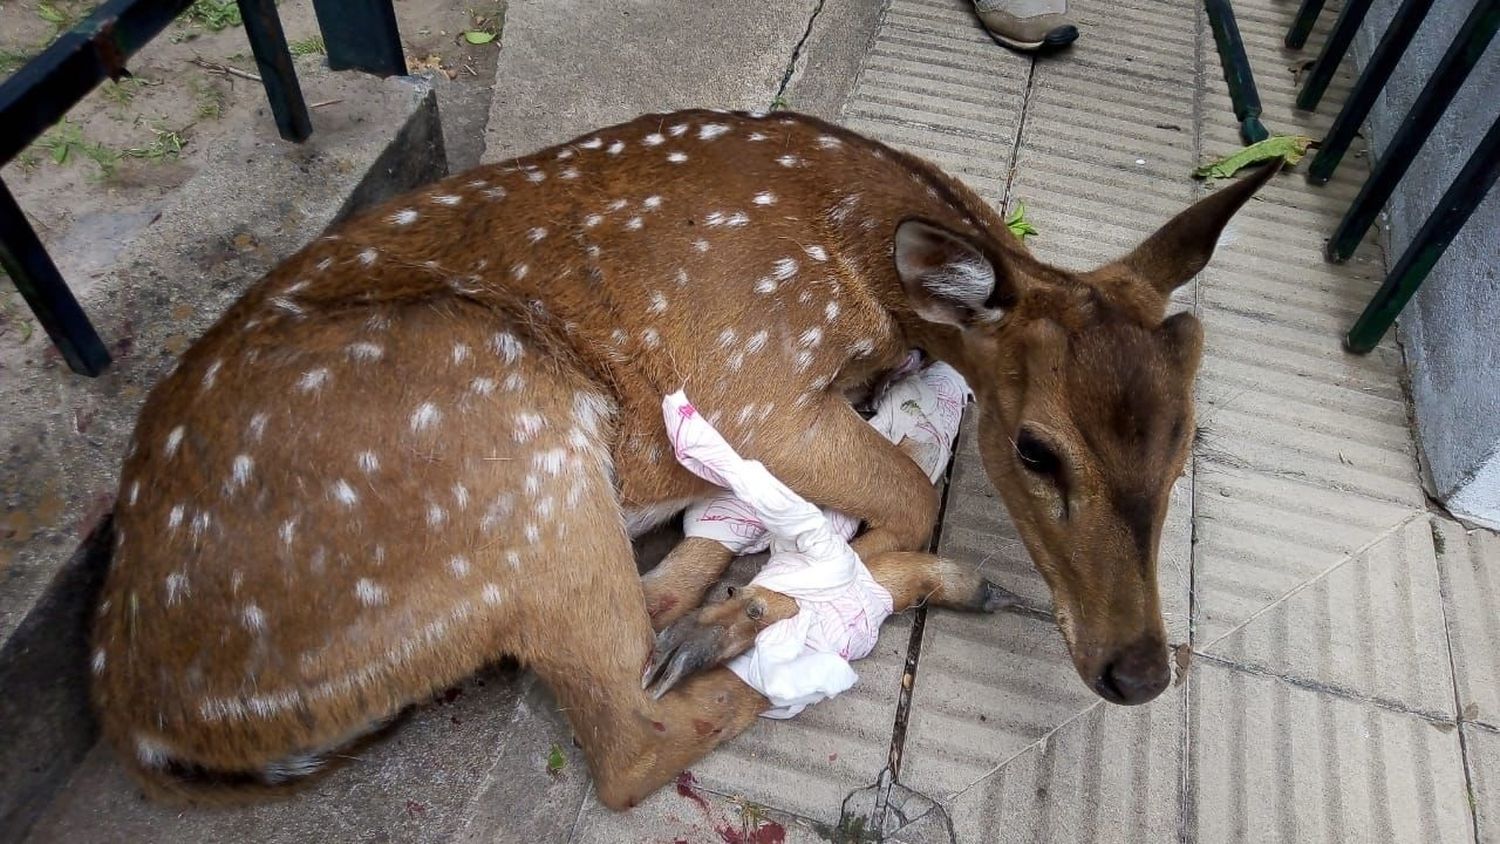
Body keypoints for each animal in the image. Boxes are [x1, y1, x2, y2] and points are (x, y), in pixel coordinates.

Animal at [93, 108, 1272, 809]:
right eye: (1036, 448)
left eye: (1185, 445)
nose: (1138, 671)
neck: (868, 267)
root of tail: (145, 715)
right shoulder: (757, 374)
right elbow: (906, 487)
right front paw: (813, 589)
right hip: (500, 428)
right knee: (627, 739)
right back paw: (813, 618)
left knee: (635, 628)